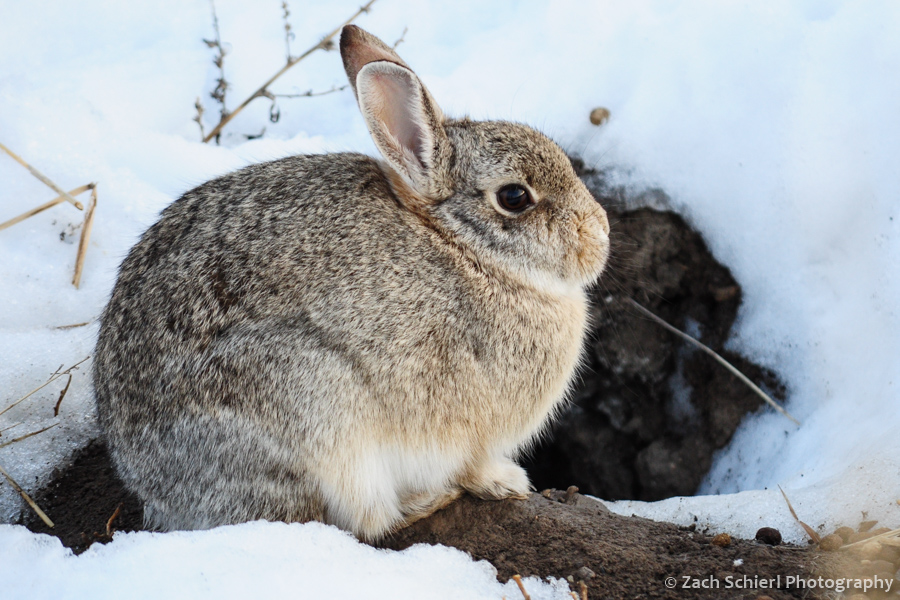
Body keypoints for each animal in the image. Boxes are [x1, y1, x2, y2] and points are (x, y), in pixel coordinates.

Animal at [93, 25, 610, 541]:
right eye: (515, 197)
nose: (600, 233)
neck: (463, 246)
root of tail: (155, 491)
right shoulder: (465, 431)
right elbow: (472, 465)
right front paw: (507, 483)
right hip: (314, 410)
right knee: (359, 520)